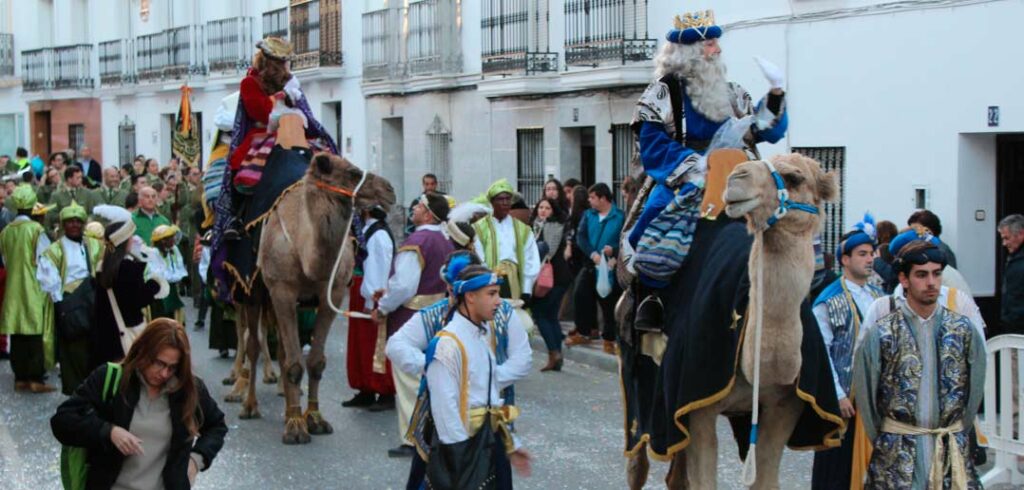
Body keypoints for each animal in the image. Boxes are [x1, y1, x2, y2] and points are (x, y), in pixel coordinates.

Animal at [233, 114, 395, 446]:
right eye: (353, 172)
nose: (389, 190)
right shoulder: (282, 290)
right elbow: (294, 363)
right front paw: (296, 427)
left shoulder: (331, 293)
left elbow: (315, 362)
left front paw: (314, 418)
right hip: (254, 290)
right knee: (254, 344)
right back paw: (250, 405)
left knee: (281, 350)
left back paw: (285, 407)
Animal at [618, 151, 835, 488]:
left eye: (794, 177)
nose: (737, 178)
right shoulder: (696, 405)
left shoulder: (786, 407)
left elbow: (765, 479)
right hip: (638, 379)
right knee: (637, 461)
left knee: (676, 475)